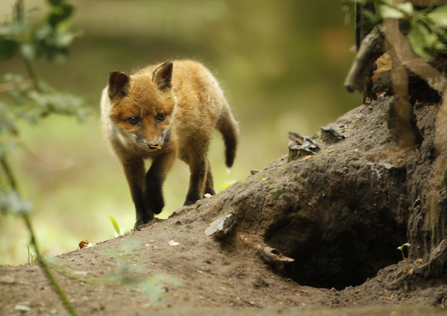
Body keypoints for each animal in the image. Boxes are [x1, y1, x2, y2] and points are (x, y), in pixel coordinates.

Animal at [101, 59, 240, 230]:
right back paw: (208, 193)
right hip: (184, 152)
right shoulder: (129, 160)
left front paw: (156, 204)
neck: (141, 150)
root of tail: (197, 65)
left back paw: (193, 199)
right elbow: (137, 193)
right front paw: (143, 218)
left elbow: (153, 176)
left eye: (161, 116)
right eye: (133, 119)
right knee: (207, 165)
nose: (154, 144)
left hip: (198, 140)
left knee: (200, 168)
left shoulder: (169, 150)